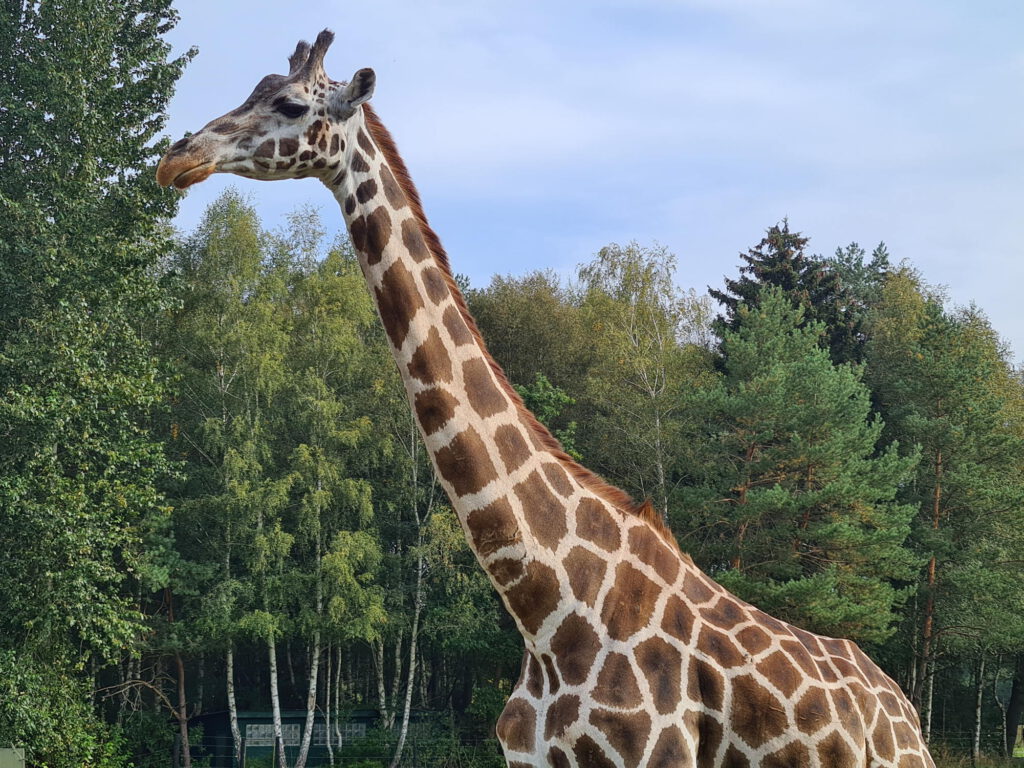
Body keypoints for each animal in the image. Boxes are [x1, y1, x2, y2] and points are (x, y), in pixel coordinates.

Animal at [157, 30, 936, 768]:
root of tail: (903, 709)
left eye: (291, 105)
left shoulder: (652, 755)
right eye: (252, 87)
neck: (547, 605)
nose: (178, 157)